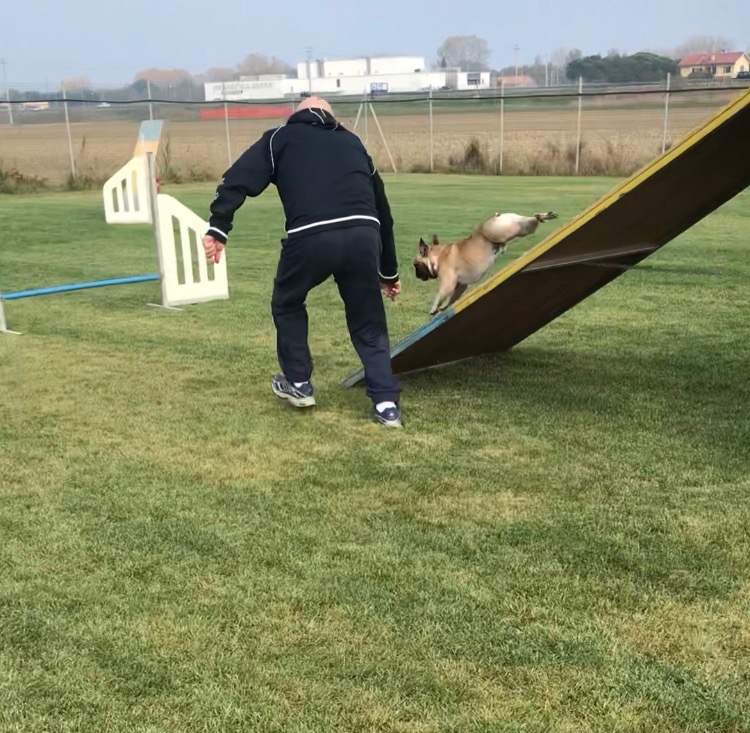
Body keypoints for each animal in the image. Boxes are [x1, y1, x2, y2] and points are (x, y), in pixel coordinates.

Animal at [414, 211, 558, 315]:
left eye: (415, 265)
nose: (417, 275)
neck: (437, 256)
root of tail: (498, 216)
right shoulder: (460, 286)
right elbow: (452, 298)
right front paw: (443, 307)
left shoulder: (448, 282)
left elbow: (440, 293)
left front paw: (434, 308)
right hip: (520, 228)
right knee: (529, 223)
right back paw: (544, 216)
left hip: (494, 232)